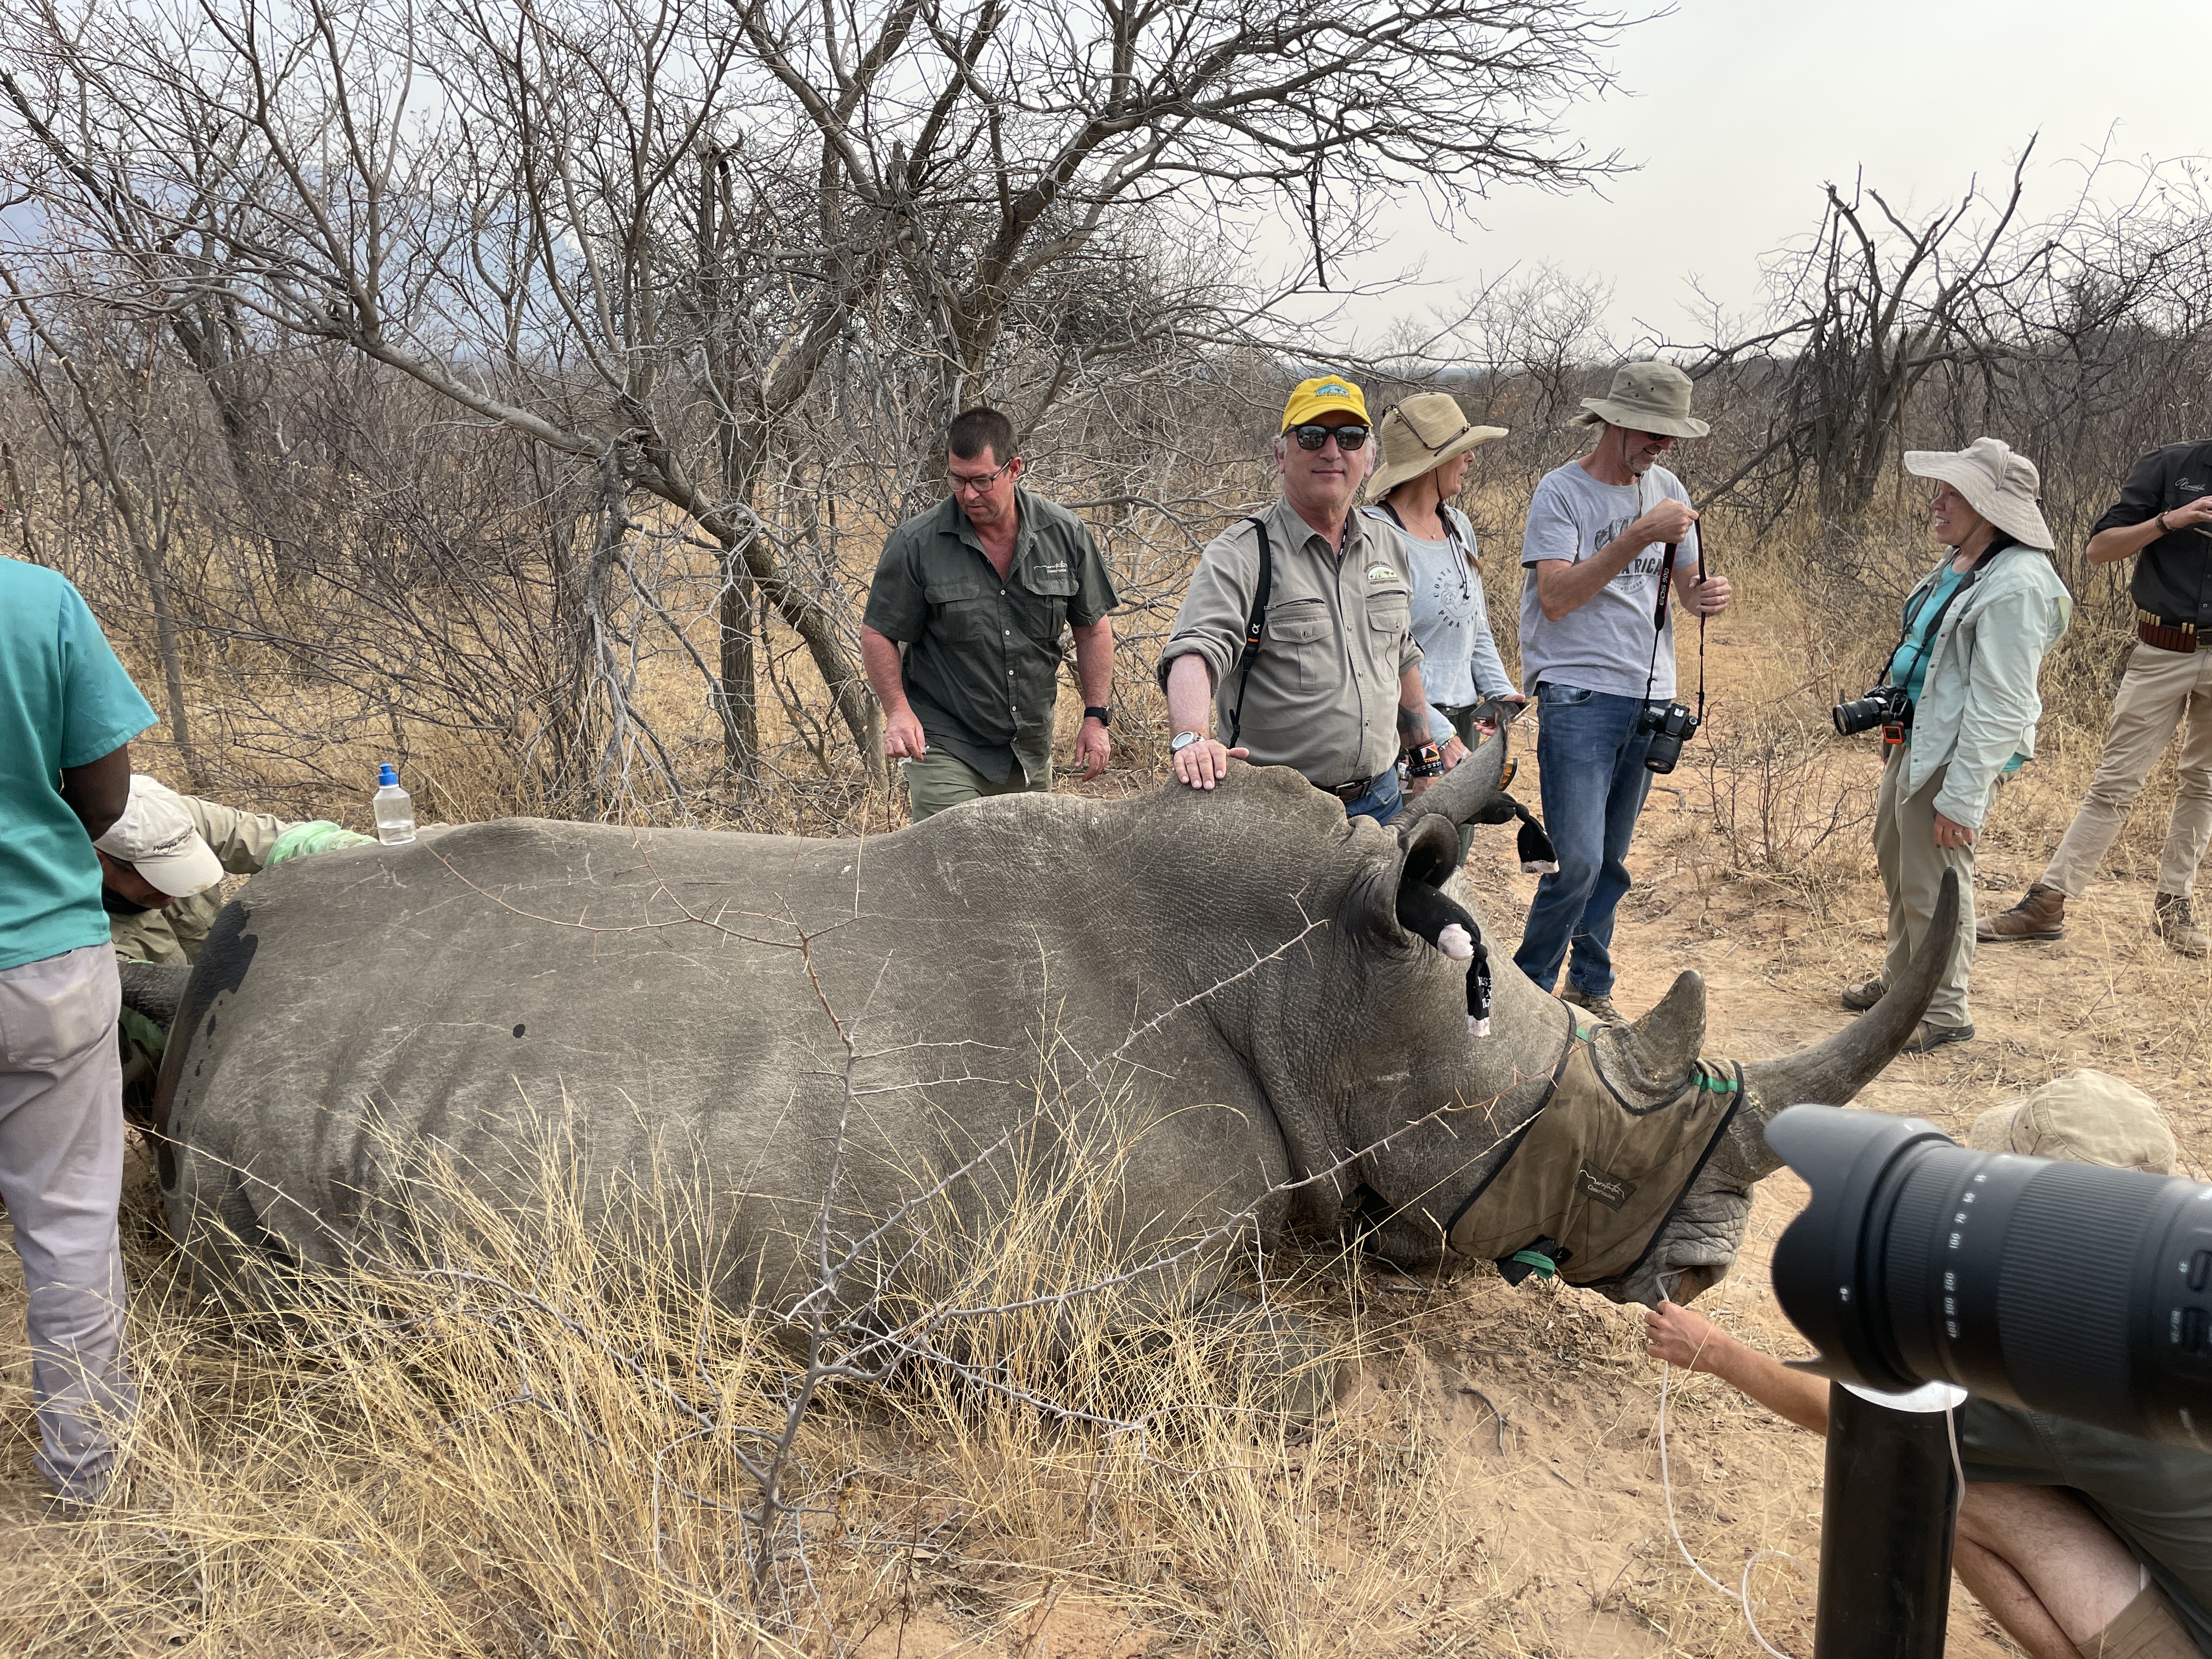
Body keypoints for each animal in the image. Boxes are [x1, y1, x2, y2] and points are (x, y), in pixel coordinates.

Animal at [135, 735, 1952, 1372]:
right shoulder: (1080, 1299)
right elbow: (1302, 1365)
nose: (1714, 1262)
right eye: (1606, 1135)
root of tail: (223, 980)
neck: (1322, 982)